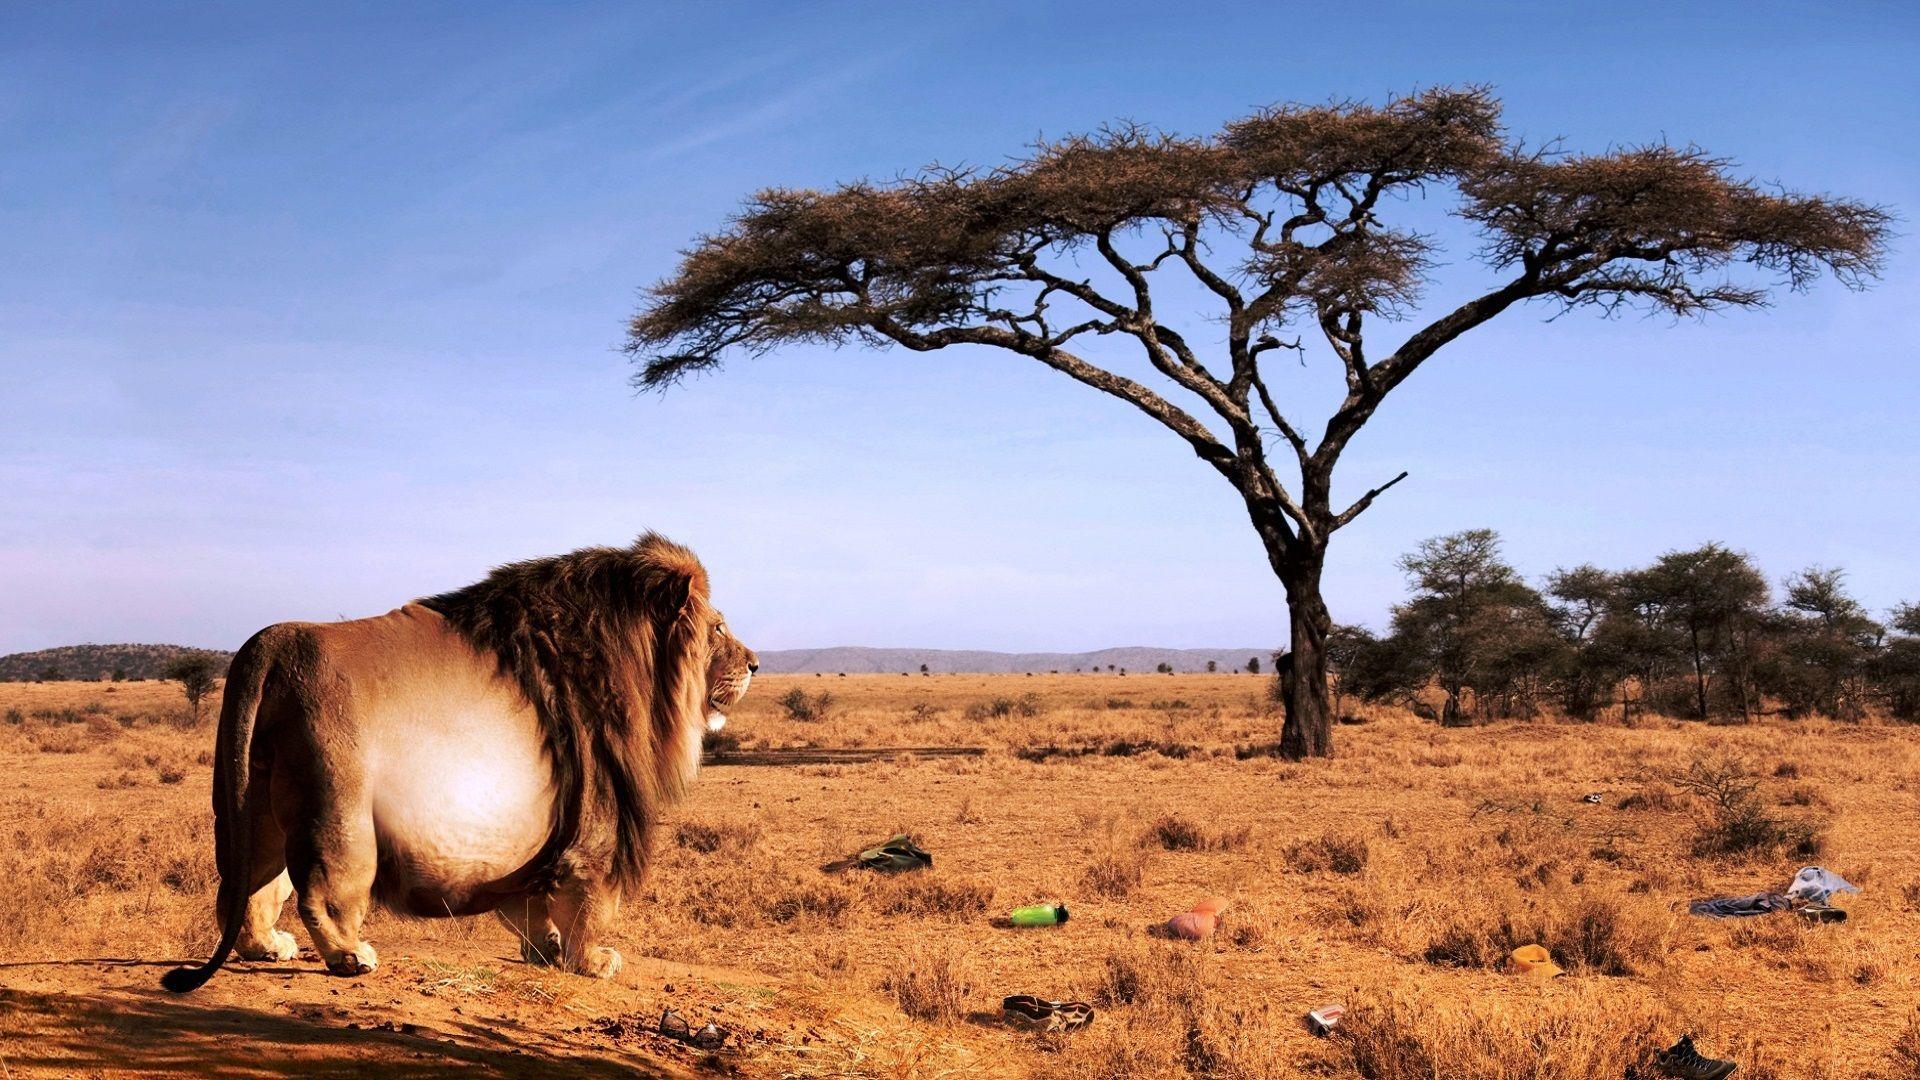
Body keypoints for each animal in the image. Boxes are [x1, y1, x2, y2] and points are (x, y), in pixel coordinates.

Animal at [163, 533, 757, 992]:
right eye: (719, 628)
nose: (755, 663)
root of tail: (272, 644)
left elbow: (530, 905)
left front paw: (547, 950)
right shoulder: (597, 823)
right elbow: (589, 902)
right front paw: (591, 961)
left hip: (249, 801)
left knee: (244, 885)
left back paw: (267, 947)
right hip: (339, 809)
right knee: (320, 893)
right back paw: (350, 957)